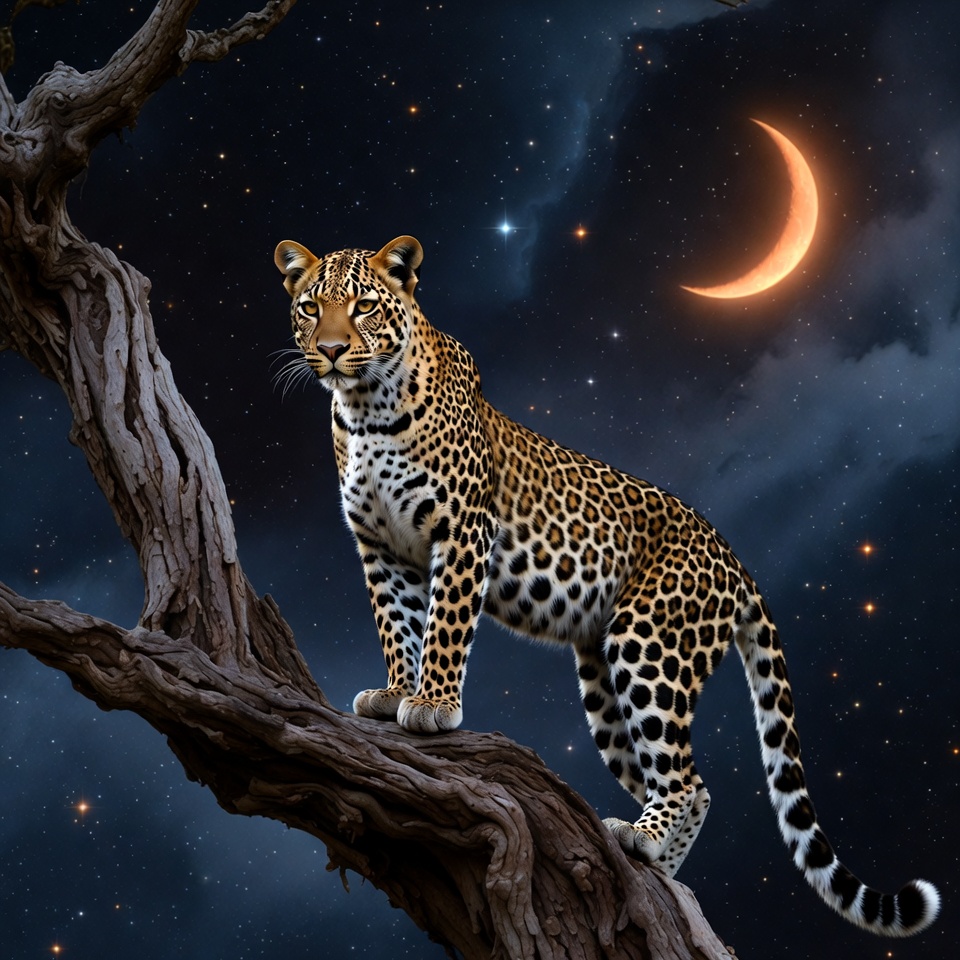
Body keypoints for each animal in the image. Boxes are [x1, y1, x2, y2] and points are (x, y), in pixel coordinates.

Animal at [273, 234, 939, 937]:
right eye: (311, 307)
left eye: (365, 307)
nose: (332, 350)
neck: (364, 409)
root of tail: (732, 555)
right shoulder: (379, 548)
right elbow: (395, 624)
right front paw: (397, 690)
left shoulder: (463, 530)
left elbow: (444, 625)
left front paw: (432, 704)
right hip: (602, 682)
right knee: (688, 783)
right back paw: (655, 871)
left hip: (649, 643)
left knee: (684, 777)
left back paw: (643, 843)